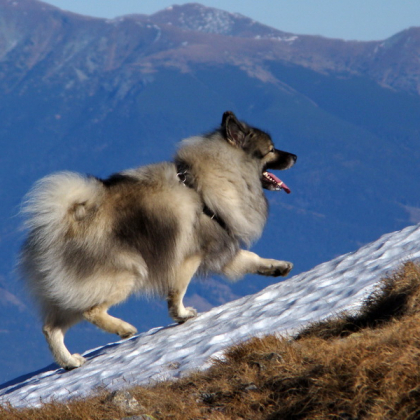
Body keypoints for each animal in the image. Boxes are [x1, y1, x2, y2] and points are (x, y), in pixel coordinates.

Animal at [19, 112, 296, 370]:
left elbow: (252, 258)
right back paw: (124, 329)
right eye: (271, 150)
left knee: (50, 329)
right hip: (124, 275)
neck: (208, 183)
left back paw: (70, 362)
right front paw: (182, 315)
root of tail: (59, 226)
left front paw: (277, 267)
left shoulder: (221, 249)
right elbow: (178, 292)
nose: (295, 156)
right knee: (91, 311)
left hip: (67, 295)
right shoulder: (190, 257)